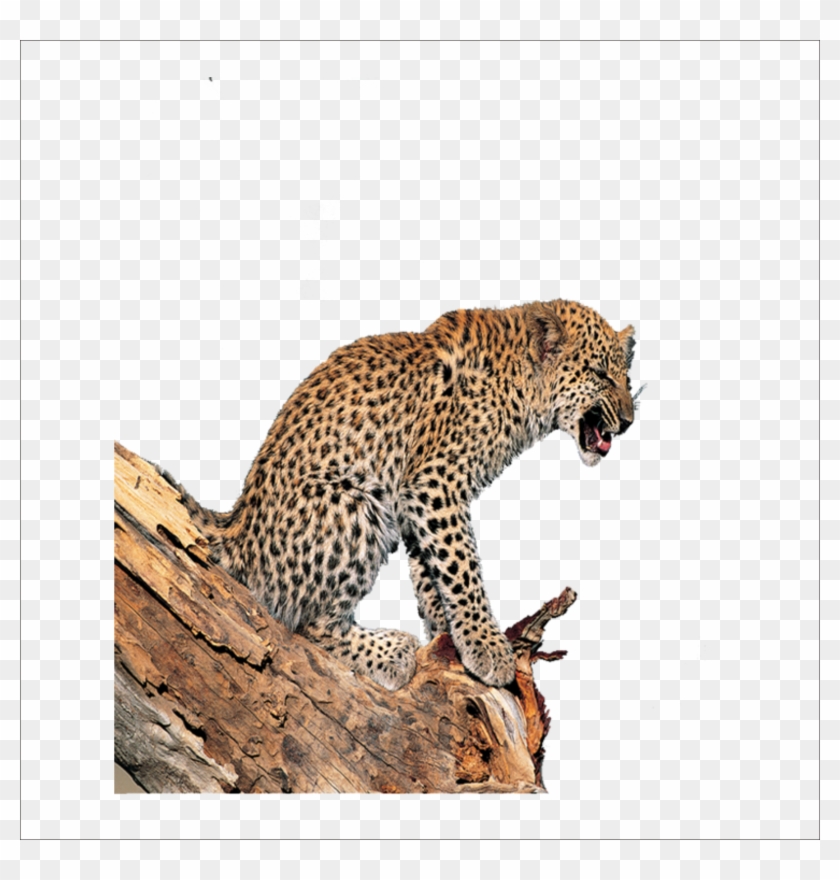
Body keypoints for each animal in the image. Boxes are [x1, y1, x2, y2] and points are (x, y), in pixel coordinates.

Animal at [173, 300, 640, 691]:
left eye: (626, 377)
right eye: (599, 374)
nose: (629, 421)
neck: (524, 387)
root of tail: (234, 527)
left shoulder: (413, 500)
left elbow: (433, 571)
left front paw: (445, 632)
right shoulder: (435, 482)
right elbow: (462, 568)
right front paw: (487, 646)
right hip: (356, 506)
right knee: (307, 621)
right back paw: (388, 653)